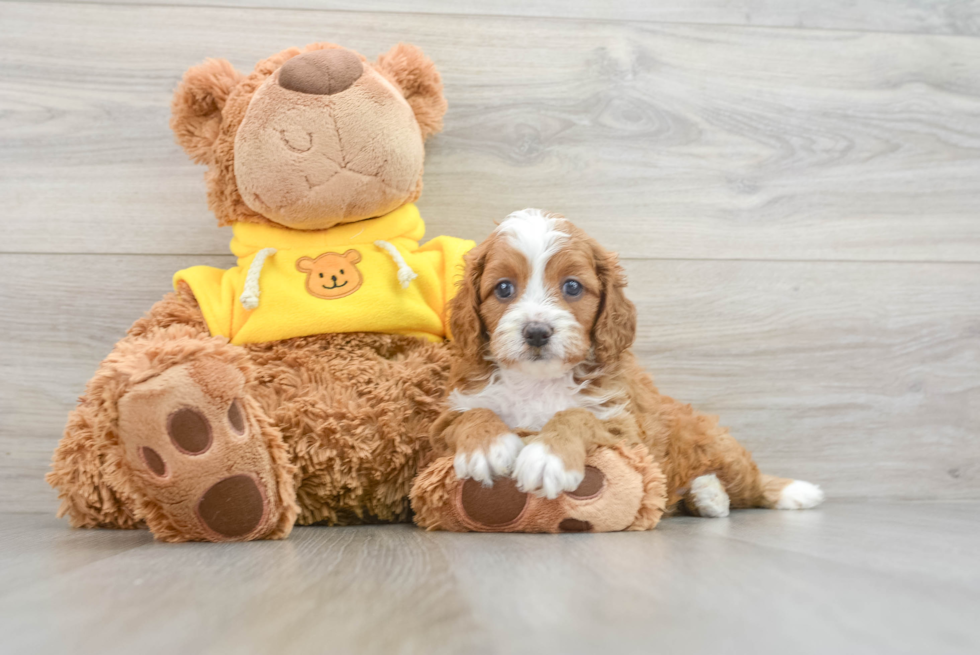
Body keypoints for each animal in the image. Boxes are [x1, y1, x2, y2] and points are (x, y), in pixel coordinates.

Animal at [432, 210, 824, 516]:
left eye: (572, 286)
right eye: (503, 288)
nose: (537, 332)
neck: (539, 381)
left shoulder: (624, 426)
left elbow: (578, 415)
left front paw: (547, 455)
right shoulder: (444, 421)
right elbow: (472, 414)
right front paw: (487, 447)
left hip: (713, 445)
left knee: (750, 482)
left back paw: (791, 491)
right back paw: (707, 495)